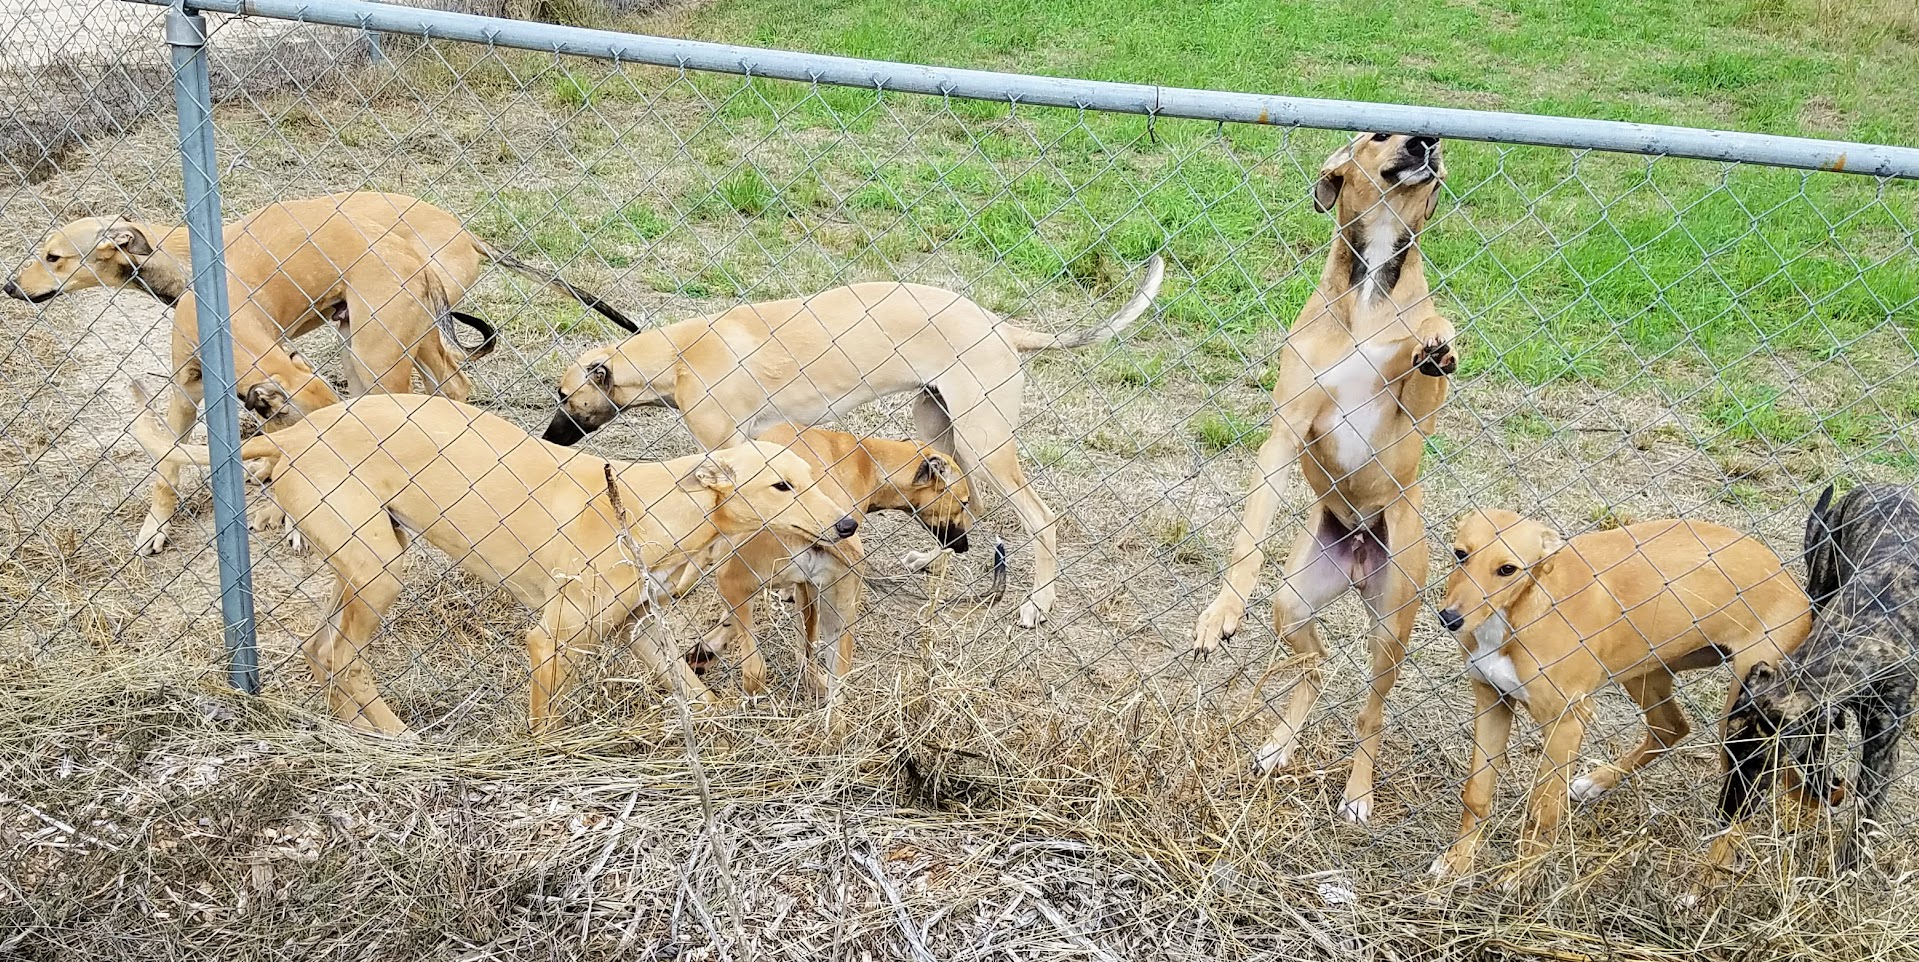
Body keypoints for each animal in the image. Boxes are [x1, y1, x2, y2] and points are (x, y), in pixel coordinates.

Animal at [9, 191, 637, 556]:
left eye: (54, 257)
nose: (12, 287)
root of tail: (460, 237)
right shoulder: (187, 393)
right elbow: (167, 466)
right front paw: (155, 527)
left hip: (382, 353)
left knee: (445, 389)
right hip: (365, 343)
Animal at [131, 382, 852, 733]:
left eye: (815, 477)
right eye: (781, 486)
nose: (846, 523)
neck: (650, 506)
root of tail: (294, 436)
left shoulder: (639, 629)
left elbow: (693, 688)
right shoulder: (551, 638)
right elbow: (544, 724)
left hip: (367, 560)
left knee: (321, 652)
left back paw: (362, 735)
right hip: (377, 572)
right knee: (343, 659)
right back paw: (398, 738)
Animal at [548, 251, 1159, 625]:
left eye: (562, 395)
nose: (550, 440)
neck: (681, 353)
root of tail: (1000, 325)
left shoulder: (725, 449)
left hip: (985, 441)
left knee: (1039, 517)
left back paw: (1038, 602)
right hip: (940, 427)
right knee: (967, 502)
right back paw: (931, 558)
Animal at [1182, 131, 1450, 817]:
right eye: (1379, 133)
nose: (1428, 140)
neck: (1370, 290)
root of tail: (1357, 552)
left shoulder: (1413, 416)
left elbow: (1428, 357)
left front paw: (1440, 337)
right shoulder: (1286, 430)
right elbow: (1247, 541)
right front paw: (1222, 609)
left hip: (1392, 624)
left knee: (1371, 713)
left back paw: (1357, 793)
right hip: (1296, 601)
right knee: (1316, 665)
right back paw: (1280, 744)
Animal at [1427, 506, 1811, 879]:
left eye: (1507, 569)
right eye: (1460, 554)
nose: (1449, 618)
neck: (1521, 611)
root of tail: (1799, 591)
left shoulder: (1566, 721)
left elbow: (1544, 808)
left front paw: (1521, 875)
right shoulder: (1491, 699)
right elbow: (1476, 793)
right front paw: (1456, 861)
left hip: (1740, 721)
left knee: (1740, 804)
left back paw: (1705, 883)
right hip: (1646, 671)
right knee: (1670, 727)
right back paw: (1596, 782)